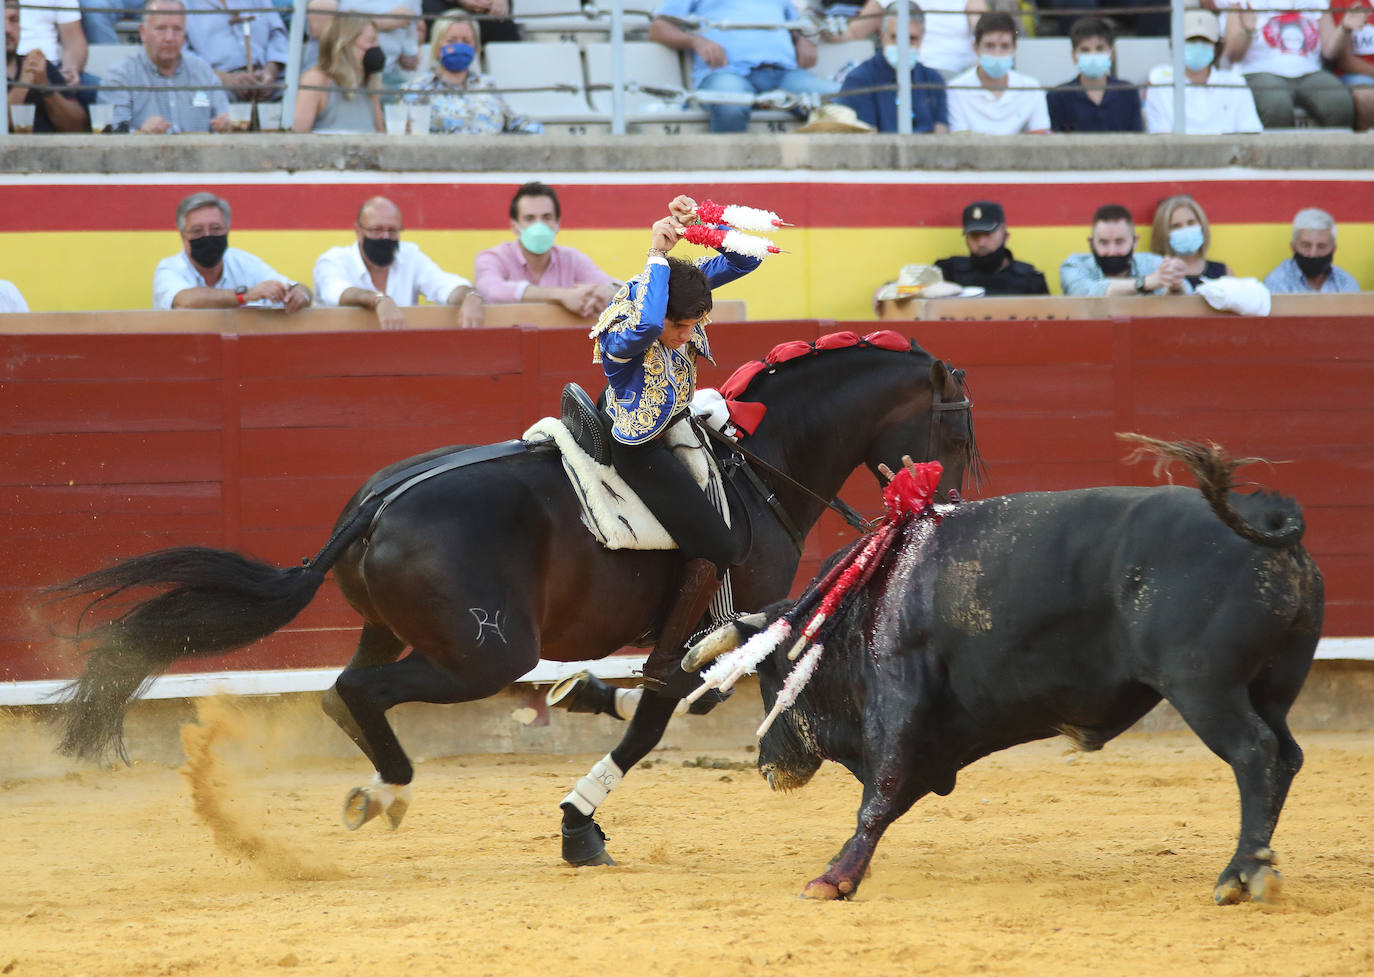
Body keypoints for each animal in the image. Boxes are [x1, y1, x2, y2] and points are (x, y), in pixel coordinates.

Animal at [48, 332, 983, 857]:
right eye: (955, 427)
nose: (948, 503)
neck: (759, 460)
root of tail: (374, 505)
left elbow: (674, 698)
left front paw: (590, 705)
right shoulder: (725, 611)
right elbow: (665, 712)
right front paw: (580, 823)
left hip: (398, 629)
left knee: (344, 688)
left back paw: (381, 786)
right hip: (488, 650)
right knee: (361, 691)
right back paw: (391, 788)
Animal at [703, 439, 1324, 906]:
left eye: (770, 678)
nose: (766, 765)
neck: (865, 598)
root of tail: (1264, 519)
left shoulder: (900, 696)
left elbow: (881, 790)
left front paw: (834, 879)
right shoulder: (933, 734)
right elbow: (895, 791)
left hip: (1203, 688)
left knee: (1254, 753)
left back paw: (1240, 876)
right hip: (1269, 687)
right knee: (1286, 756)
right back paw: (1258, 866)